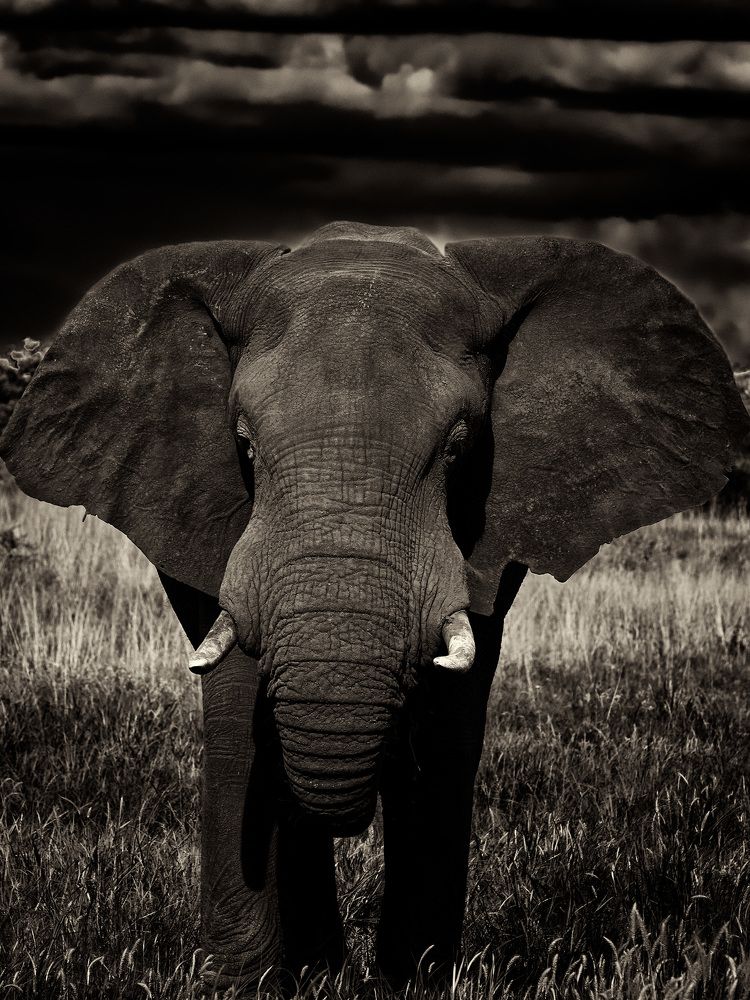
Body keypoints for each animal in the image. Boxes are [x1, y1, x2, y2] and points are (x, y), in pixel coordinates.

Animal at [2, 221, 748, 991]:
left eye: (459, 446)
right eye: (243, 442)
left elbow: (450, 718)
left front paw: (417, 980)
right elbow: (236, 703)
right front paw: (245, 987)